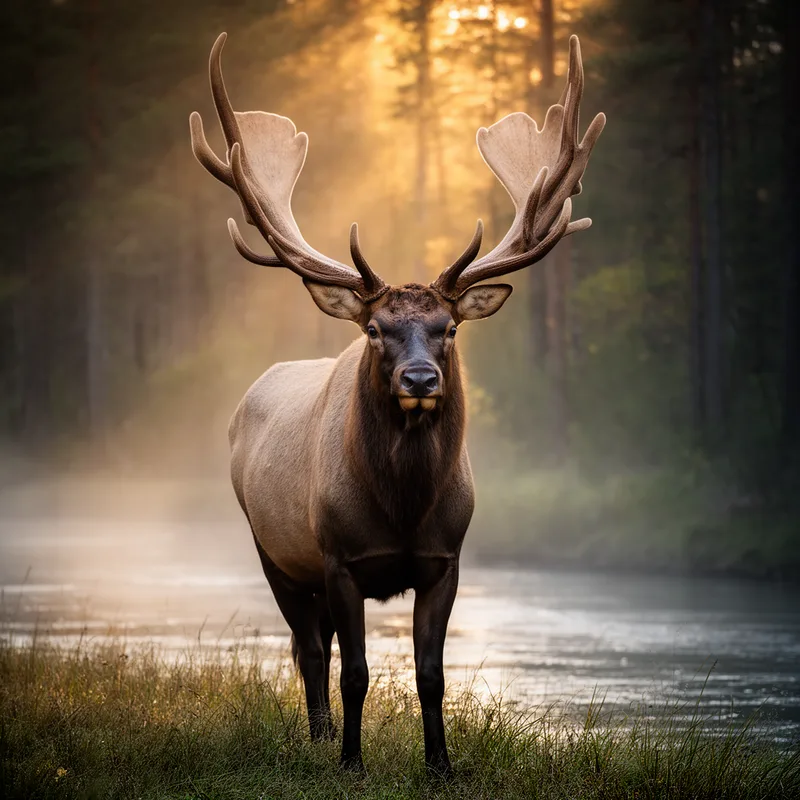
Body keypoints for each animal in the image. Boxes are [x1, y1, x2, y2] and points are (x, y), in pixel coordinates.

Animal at [189, 32, 604, 776]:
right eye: (377, 329)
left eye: (449, 328)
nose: (419, 378)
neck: (404, 506)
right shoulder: (339, 559)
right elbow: (354, 670)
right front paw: (351, 762)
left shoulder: (446, 561)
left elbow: (430, 674)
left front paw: (441, 765)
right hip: (275, 552)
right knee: (308, 649)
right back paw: (320, 738)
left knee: (314, 645)